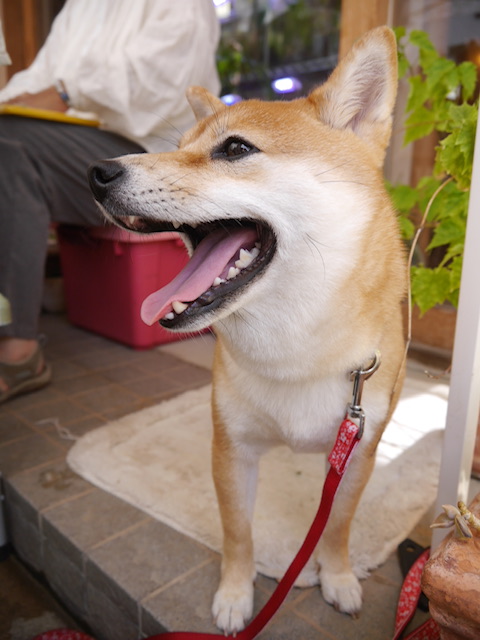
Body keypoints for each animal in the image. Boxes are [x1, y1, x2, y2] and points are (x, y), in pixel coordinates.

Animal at [88, 26, 406, 634]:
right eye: (179, 144)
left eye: (235, 149)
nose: (98, 172)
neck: (297, 354)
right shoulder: (231, 448)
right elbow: (239, 533)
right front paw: (236, 595)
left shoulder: (358, 453)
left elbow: (337, 526)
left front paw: (336, 577)